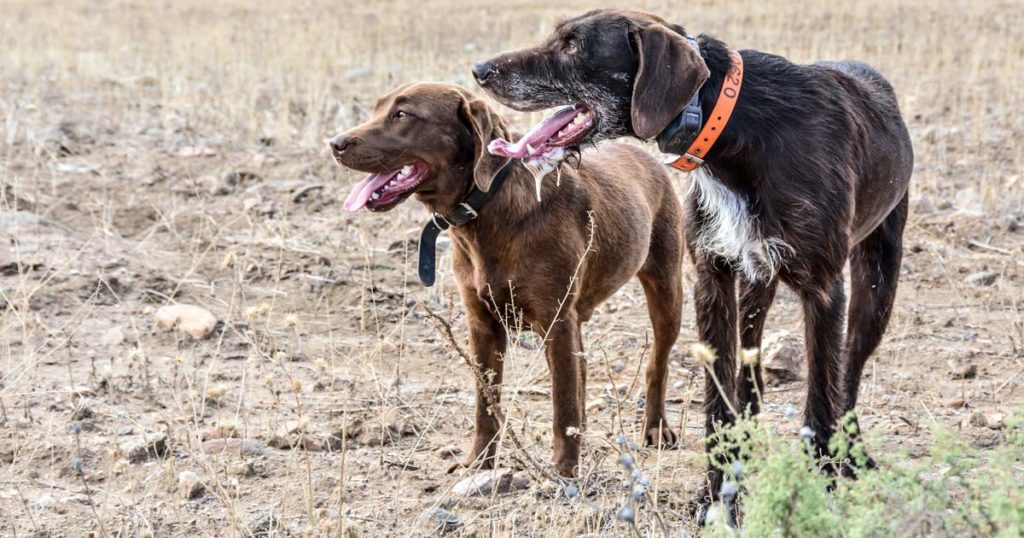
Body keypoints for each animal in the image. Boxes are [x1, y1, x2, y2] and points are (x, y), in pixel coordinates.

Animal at [327, 81, 679, 475]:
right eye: (377, 109)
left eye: (402, 114)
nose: (335, 144)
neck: (486, 211)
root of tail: (644, 155)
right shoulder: (483, 325)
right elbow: (487, 403)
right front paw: (479, 461)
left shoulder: (556, 323)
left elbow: (562, 404)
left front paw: (563, 471)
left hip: (667, 291)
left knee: (656, 364)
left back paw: (656, 428)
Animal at [471, 6, 913, 516]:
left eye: (574, 44)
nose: (479, 70)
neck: (734, 128)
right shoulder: (713, 279)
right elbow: (718, 402)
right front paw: (718, 496)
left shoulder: (823, 291)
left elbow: (822, 398)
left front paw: (820, 489)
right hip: (756, 284)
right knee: (750, 371)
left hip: (876, 283)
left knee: (850, 372)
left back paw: (854, 455)